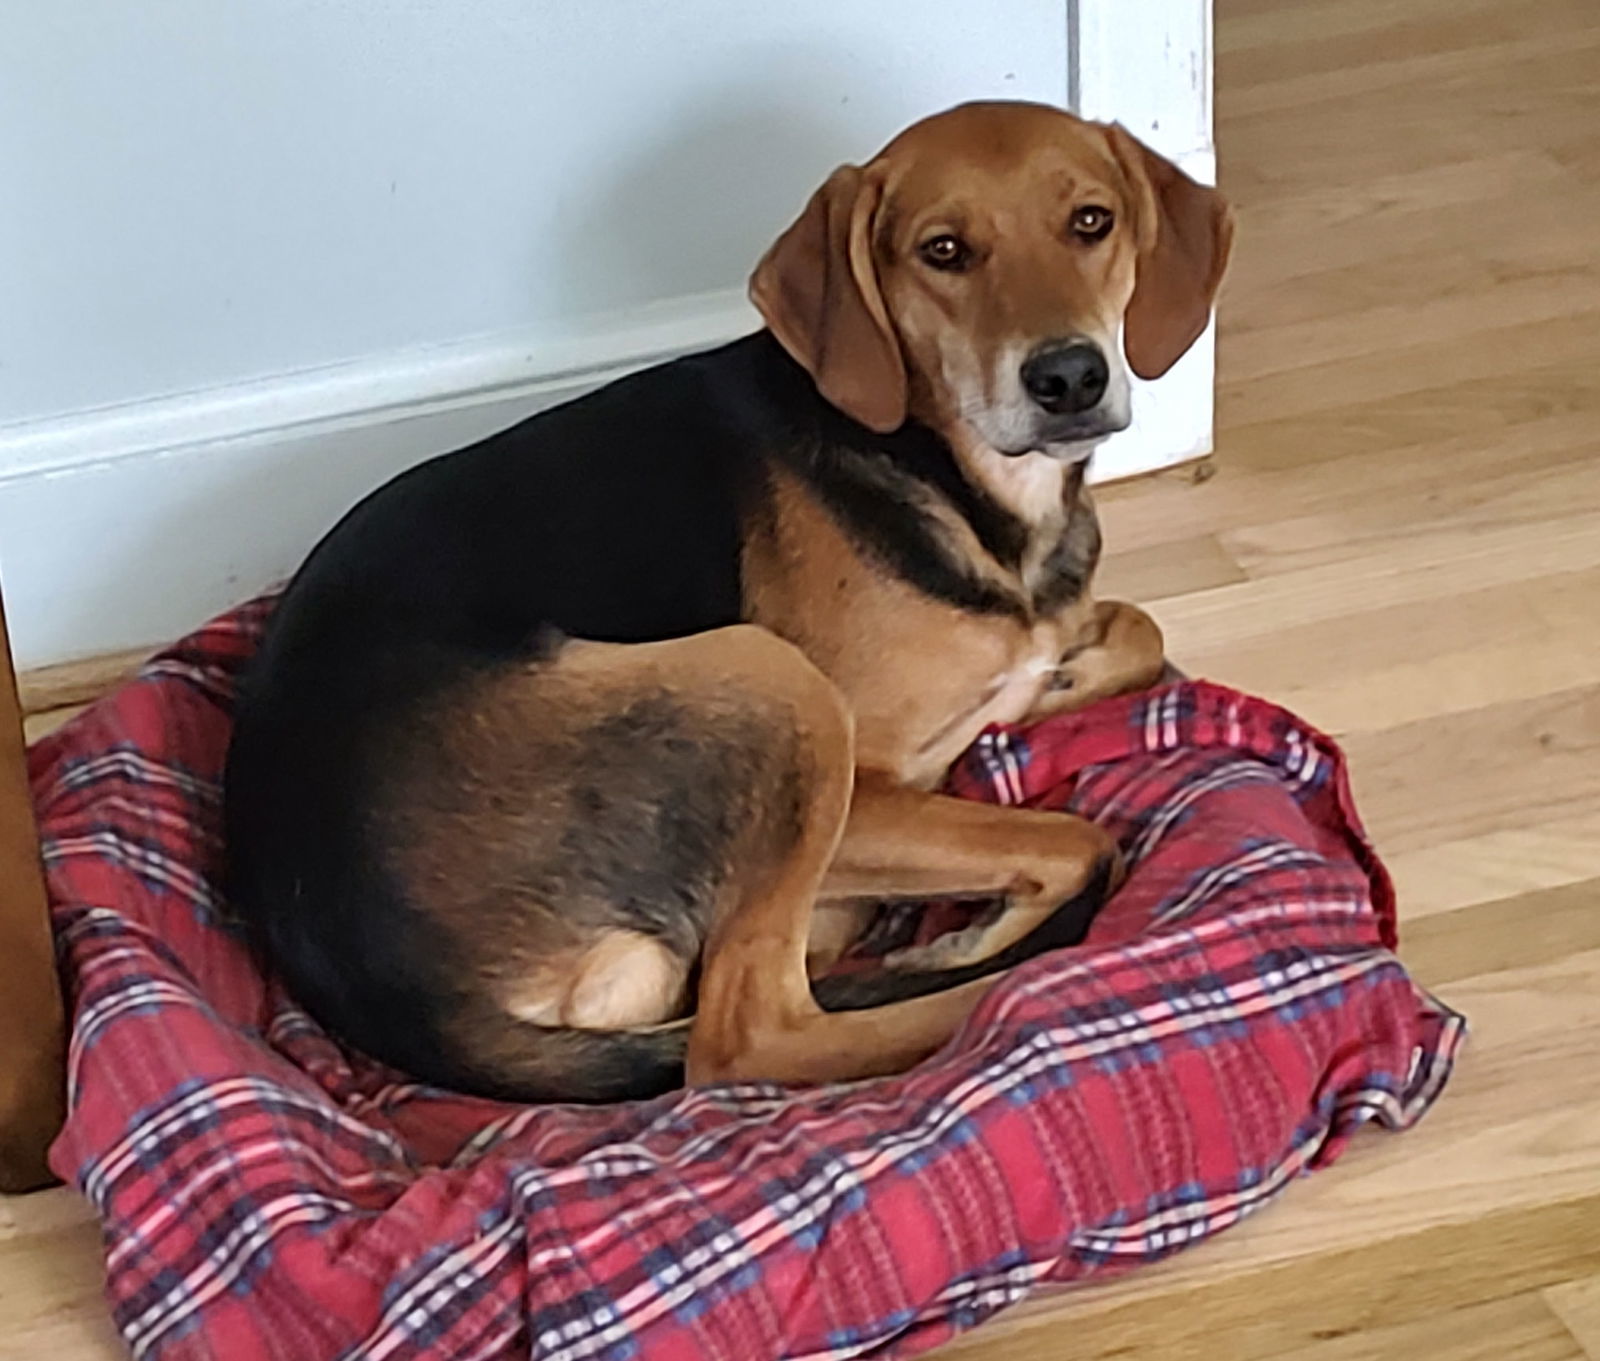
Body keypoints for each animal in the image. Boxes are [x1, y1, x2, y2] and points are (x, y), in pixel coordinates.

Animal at [219, 106, 1228, 1106]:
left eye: (1092, 222)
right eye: (943, 251)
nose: (1069, 378)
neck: (958, 476)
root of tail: (383, 987)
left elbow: (1137, 628)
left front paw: (1055, 681)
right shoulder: (867, 798)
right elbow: (1074, 837)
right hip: (768, 685)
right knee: (750, 1033)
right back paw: (981, 975)